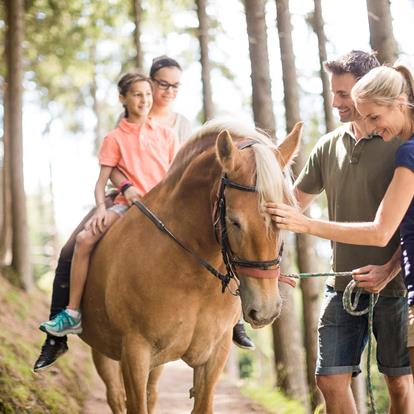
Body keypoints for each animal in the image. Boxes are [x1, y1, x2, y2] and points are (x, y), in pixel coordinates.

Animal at [79, 118, 302, 412]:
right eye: (234, 221)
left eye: (283, 217)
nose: (265, 310)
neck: (192, 276)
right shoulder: (134, 352)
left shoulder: (215, 354)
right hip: (104, 351)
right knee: (115, 397)